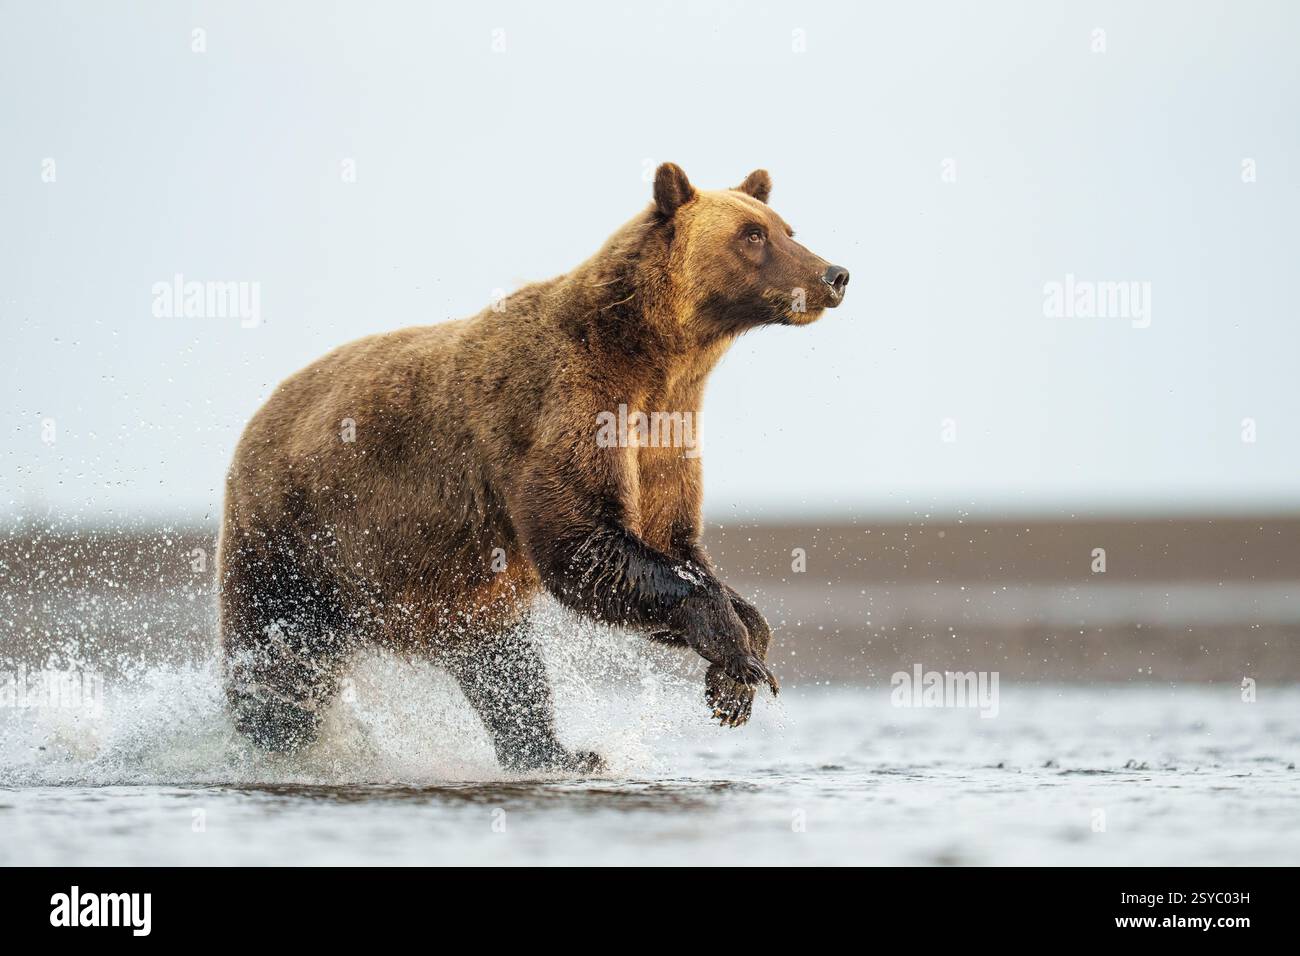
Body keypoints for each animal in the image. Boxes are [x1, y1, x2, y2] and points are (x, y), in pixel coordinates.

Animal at [217, 163, 849, 773]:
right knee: (278, 656)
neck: (652, 360)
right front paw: (737, 656)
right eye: (752, 235)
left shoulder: (664, 439)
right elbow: (580, 541)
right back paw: (280, 739)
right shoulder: (563, 408)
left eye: (786, 228)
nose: (834, 274)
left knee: (504, 666)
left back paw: (559, 751)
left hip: (458, 590)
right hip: (295, 539)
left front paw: (737, 672)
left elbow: (675, 546)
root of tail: (260, 414)